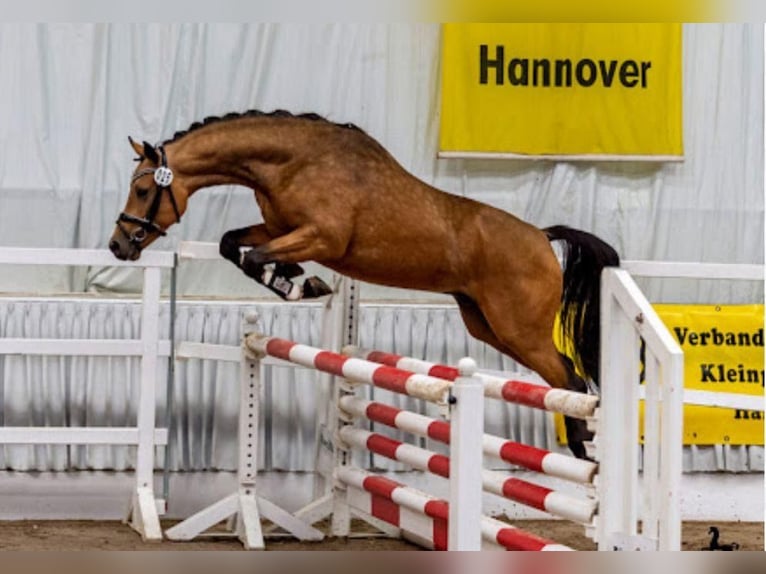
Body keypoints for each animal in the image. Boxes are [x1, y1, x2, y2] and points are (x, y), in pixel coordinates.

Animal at [111, 109, 620, 460]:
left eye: (142, 190)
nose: (118, 246)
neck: (291, 162)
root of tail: (541, 237)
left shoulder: (320, 236)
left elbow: (255, 256)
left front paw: (299, 285)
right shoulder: (278, 229)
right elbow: (231, 243)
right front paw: (295, 279)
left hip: (520, 329)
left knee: (571, 378)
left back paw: (585, 449)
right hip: (486, 325)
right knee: (564, 375)